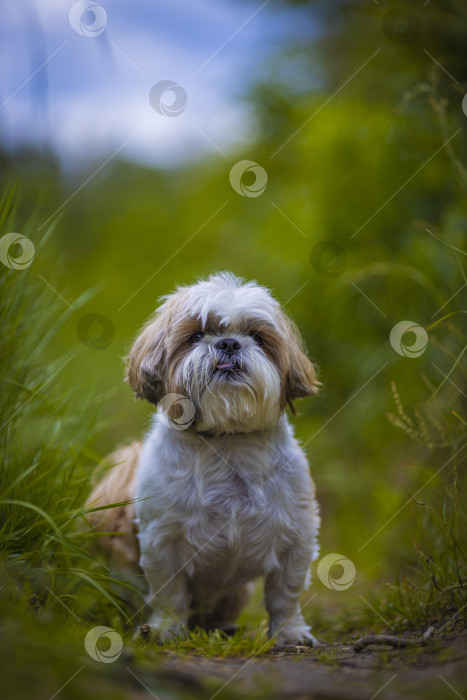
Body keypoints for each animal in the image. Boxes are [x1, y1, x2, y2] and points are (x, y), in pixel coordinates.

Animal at [88, 274, 322, 644]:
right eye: (196, 335)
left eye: (257, 336)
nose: (228, 344)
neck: (227, 441)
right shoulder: (161, 542)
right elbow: (169, 593)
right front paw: (166, 630)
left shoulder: (296, 537)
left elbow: (285, 593)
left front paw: (291, 632)